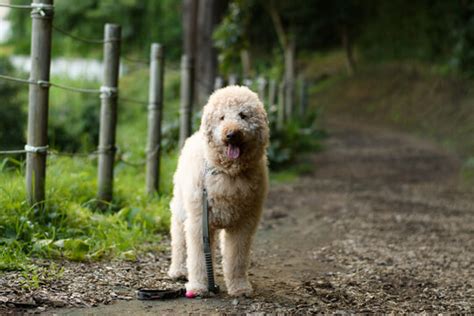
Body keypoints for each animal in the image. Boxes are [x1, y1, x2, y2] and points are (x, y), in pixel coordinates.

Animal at [168, 84, 268, 296]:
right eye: (221, 117)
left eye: (243, 115)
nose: (231, 134)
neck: (227, 172)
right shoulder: (199, 222)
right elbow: (198, 258)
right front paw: (198, 286)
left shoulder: (243, 225)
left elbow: (237, 258)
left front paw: (239, 287)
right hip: (182, 210)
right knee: (179, 241)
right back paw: (178, 271)